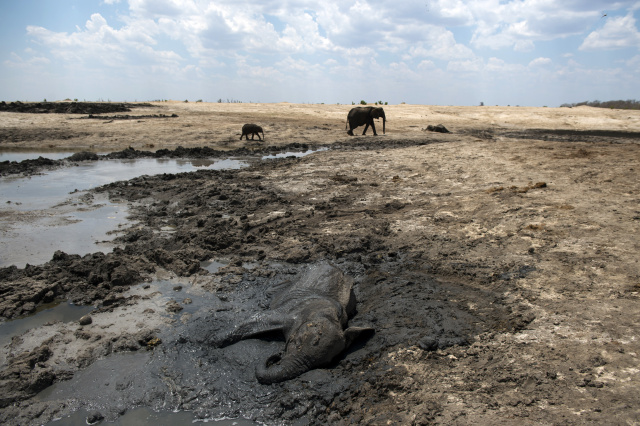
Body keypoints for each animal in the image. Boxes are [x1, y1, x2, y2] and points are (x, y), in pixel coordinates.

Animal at [212, 262, 372, 384]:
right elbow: (259, 319)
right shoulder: (291, 312)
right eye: (297, 342)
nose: (276, 355)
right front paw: (212, 341)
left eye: (326, 362)